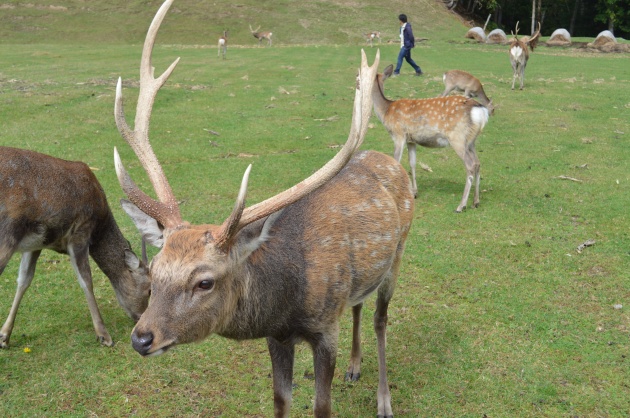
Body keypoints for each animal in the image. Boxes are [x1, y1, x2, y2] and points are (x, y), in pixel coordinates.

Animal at [0, 145, 151, 348]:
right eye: (149, 289)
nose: (140, 319)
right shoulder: (80, 231)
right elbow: (86, 280)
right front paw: (104, 335)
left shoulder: (37, 243)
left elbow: (24, 279)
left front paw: (4, 336)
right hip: (8, 230)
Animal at [116, 1, 418, 416]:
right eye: (155, 268)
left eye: (205, 281)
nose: (142, 338)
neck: (287, 301)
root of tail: (388, 160)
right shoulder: (277, 336)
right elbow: (280, 399)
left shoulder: (326, 328)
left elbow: (322, 406)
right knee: (359, 304)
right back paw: (356, 367)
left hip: (399, 252)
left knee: (380, 318)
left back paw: (383, 399)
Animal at [372, 63, 492, 214]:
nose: (358, 83)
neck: (386, 111)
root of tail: (481, 112)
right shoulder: (411, 140)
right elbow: (412, 163)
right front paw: (414, 192)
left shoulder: (398, 134)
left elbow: (396, 161)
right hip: (471, 141)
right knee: (477, 163)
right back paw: (475, 202)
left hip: (458, 138)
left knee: (470, 165)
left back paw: (461, 206)